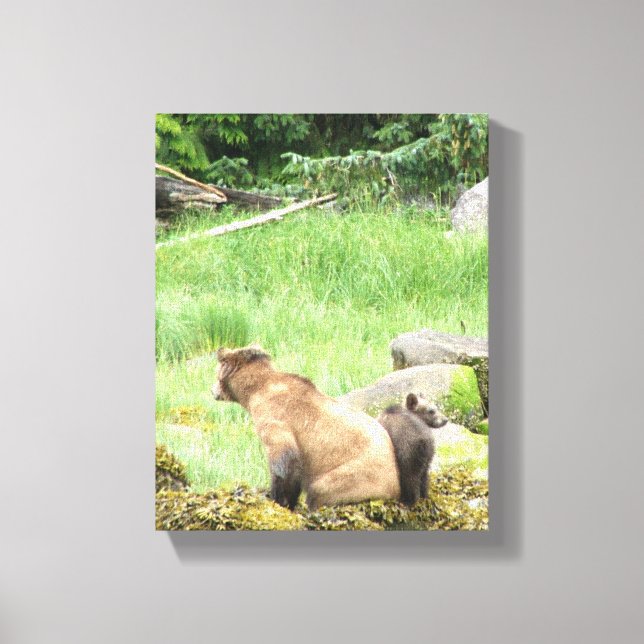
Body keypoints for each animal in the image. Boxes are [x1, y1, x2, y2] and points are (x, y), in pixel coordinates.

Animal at [211, 345, 401, 511]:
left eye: (215, 372)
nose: (212, 390)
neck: (255, 391)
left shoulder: (275, 416)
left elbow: (284, 458)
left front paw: (278, 498)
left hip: (357, 474)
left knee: (321, 490)